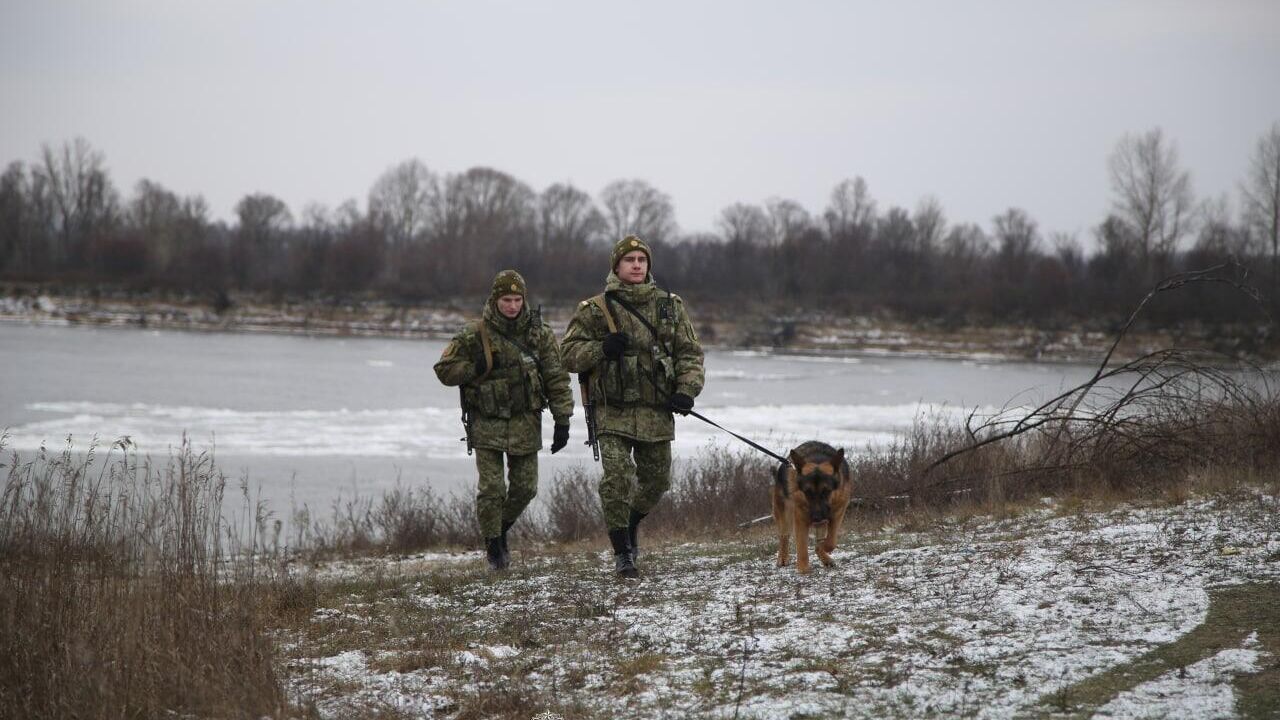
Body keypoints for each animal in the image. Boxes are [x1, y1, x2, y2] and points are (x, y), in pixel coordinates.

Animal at [768, 438, 849, 571]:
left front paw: (824, 546)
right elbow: (801, 548)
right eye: (807, 492)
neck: (817, 460)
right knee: (784, 536)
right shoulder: (800, 518)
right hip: (785, 513)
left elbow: (831, 541)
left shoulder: (838, 512)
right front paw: (803, 569)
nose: (816, 517)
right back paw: (783, 557)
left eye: (826, 491)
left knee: (818, 542)